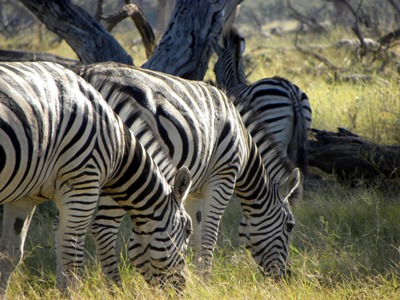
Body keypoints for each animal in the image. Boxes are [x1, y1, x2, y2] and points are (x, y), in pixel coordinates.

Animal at [0, 61, 192, 296]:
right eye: (188, 230)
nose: (183, 290)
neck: (117, 145)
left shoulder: (24, 199)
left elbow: (9, 257)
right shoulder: (82, 188)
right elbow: (72, 264)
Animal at [79, 61, 302, 282]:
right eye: (290, 226)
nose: (285, 278)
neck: (244, 142)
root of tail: (88, 75)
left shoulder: (192, 191)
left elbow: (194, 235)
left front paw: (197, 279)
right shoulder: (223, 177)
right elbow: (209, 236)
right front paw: (206, 280)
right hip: (125, 168)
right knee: (103, 229)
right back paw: (115, 286)